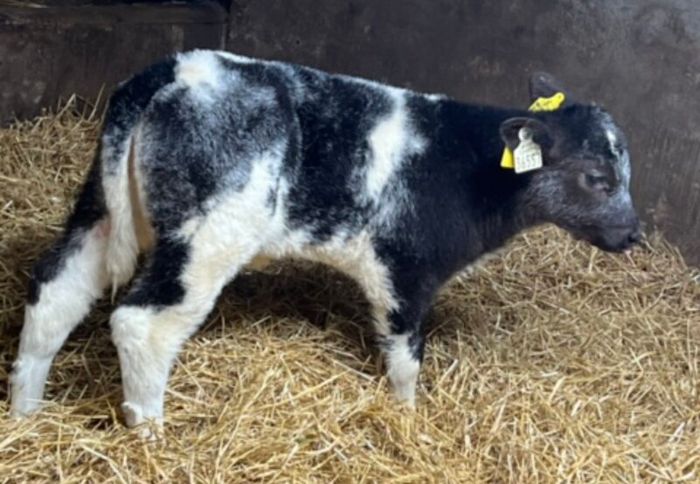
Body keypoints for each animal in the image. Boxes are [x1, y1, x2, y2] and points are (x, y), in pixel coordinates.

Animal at [9, 50, 640, 432]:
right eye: (597, 178)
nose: (633, 233)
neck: (466, 167)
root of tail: (173, 71)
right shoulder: (404, 266)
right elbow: (406, 357)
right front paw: (408, 418)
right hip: (207, 236)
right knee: (142, 322)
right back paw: (151, 434)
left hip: (99, 208)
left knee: (54, 293)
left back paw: (25, 413)